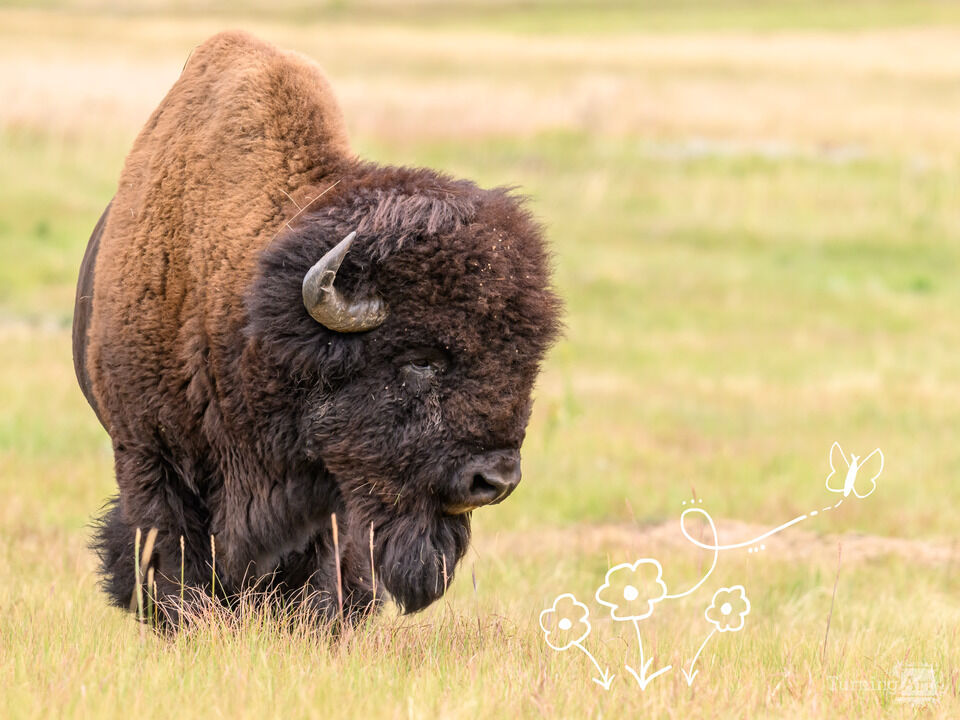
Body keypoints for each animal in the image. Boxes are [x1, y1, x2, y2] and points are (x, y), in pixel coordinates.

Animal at [72, 30, 560, 624]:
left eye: (523, 363)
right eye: (420, 359)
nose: (495, 480)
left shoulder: (330, 491)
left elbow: (321, 568)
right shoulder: (149, 454)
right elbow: (168, 555)